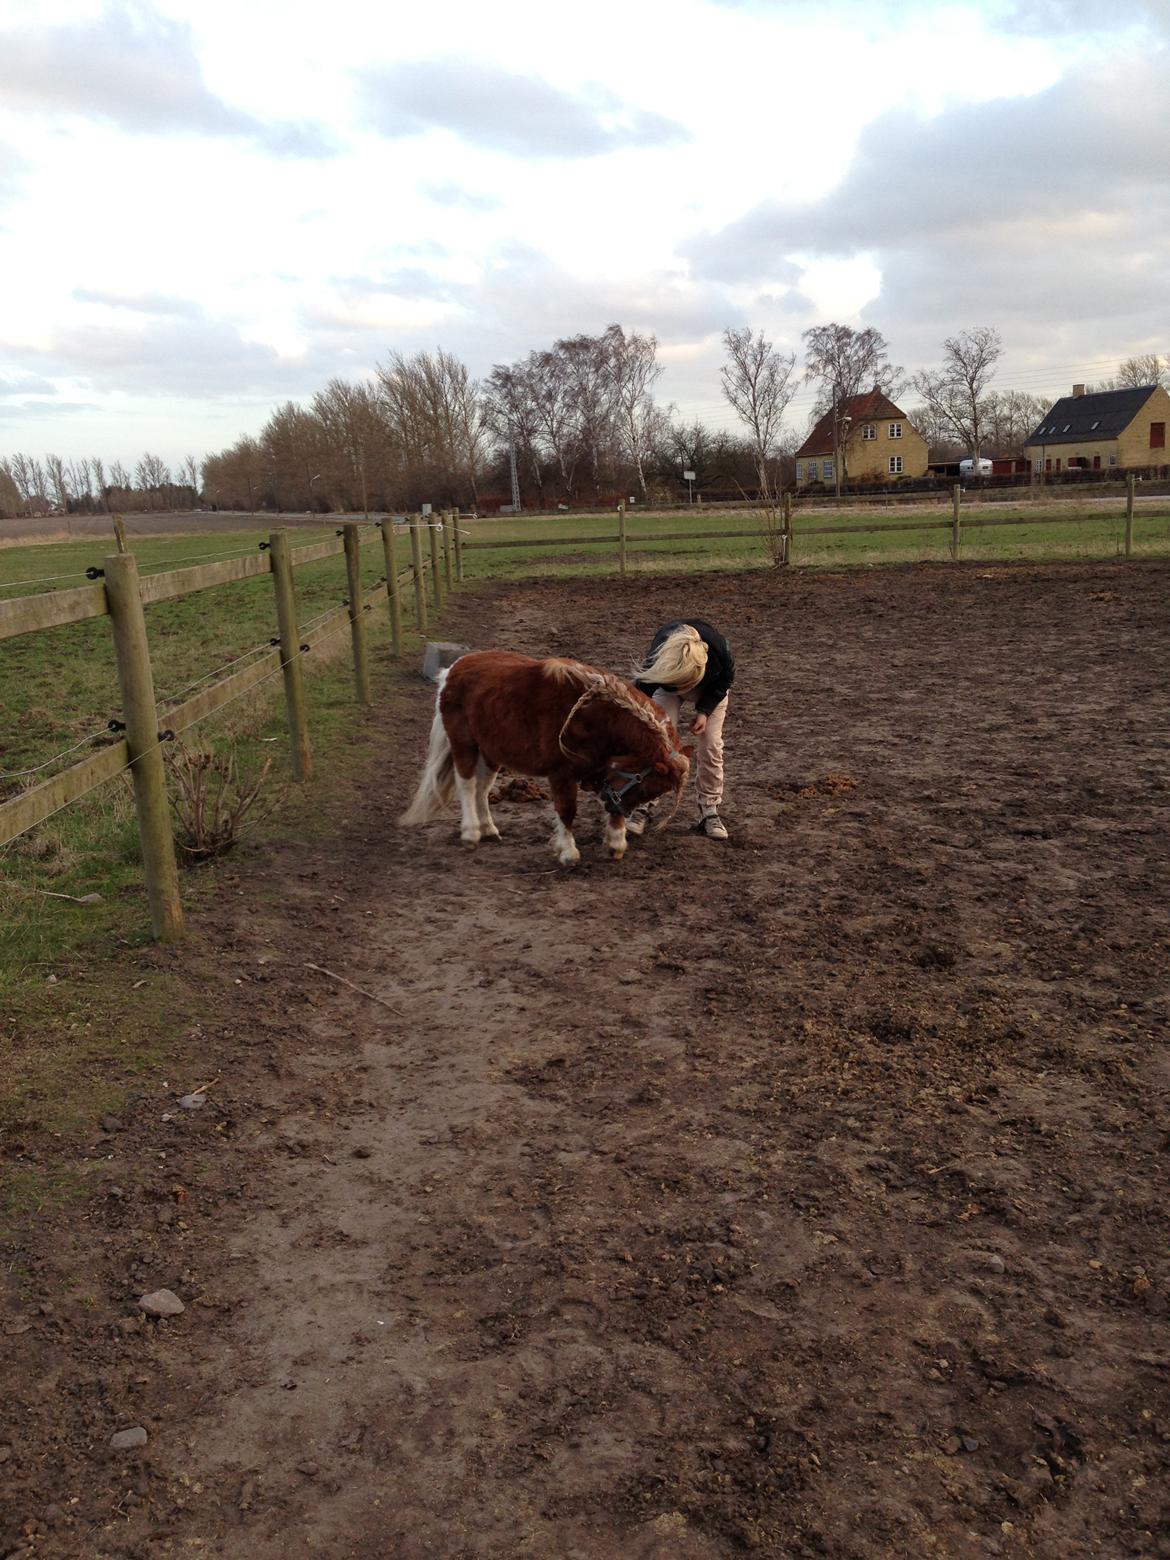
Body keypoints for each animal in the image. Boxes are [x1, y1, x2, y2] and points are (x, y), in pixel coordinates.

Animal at [402, 648, 695, 867]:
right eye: (644, 786)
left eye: (649, 792)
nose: (612, 805)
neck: (594, 716)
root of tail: (452, 671)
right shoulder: (561, 773)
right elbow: (566, 810)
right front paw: (568, 852)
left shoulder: (602, 768)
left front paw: (615, 842)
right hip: (464, 745)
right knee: (467, 784)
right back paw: (471, 832)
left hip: (491, 751)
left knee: (482, 789)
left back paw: (488, 829)